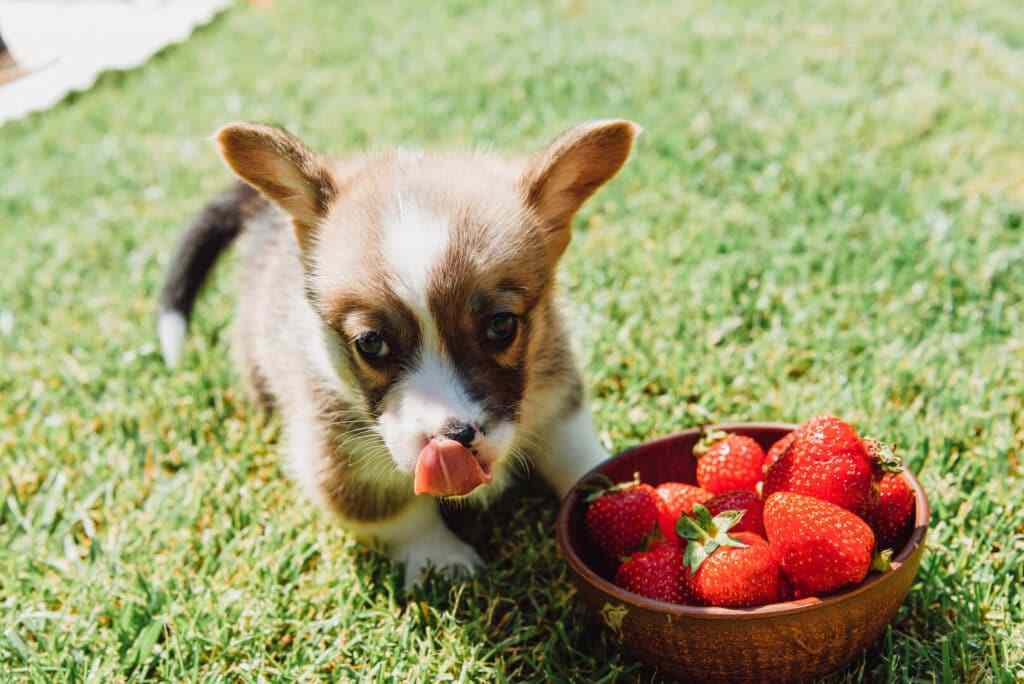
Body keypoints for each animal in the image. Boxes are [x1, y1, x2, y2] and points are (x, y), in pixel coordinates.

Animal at [157, 118, 638, 589]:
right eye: (371, 343)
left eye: (502, 326)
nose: (455, 438)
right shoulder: (342, 460)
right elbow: (401, 515)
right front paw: (440, 560)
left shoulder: (557, 396)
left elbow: (573, 454)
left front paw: (616, 489)